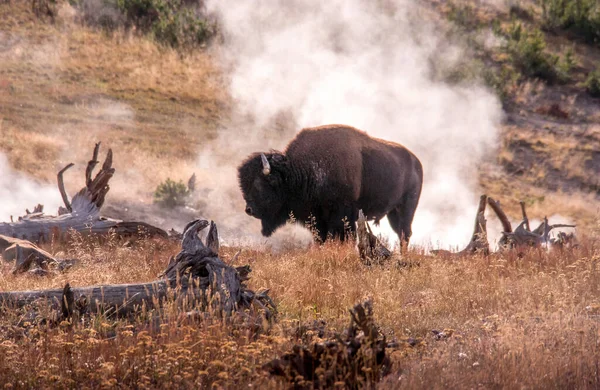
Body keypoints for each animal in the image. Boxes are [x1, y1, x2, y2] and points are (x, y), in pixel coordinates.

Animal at [237, 125, 424, 247]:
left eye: (259, 184)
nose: (249, 210)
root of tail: (416, 161)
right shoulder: (318, 219)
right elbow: (321, 239)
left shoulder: (343, 215)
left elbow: (346, 238)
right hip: (393, 213)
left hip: (406, 208)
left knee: (405, 234)